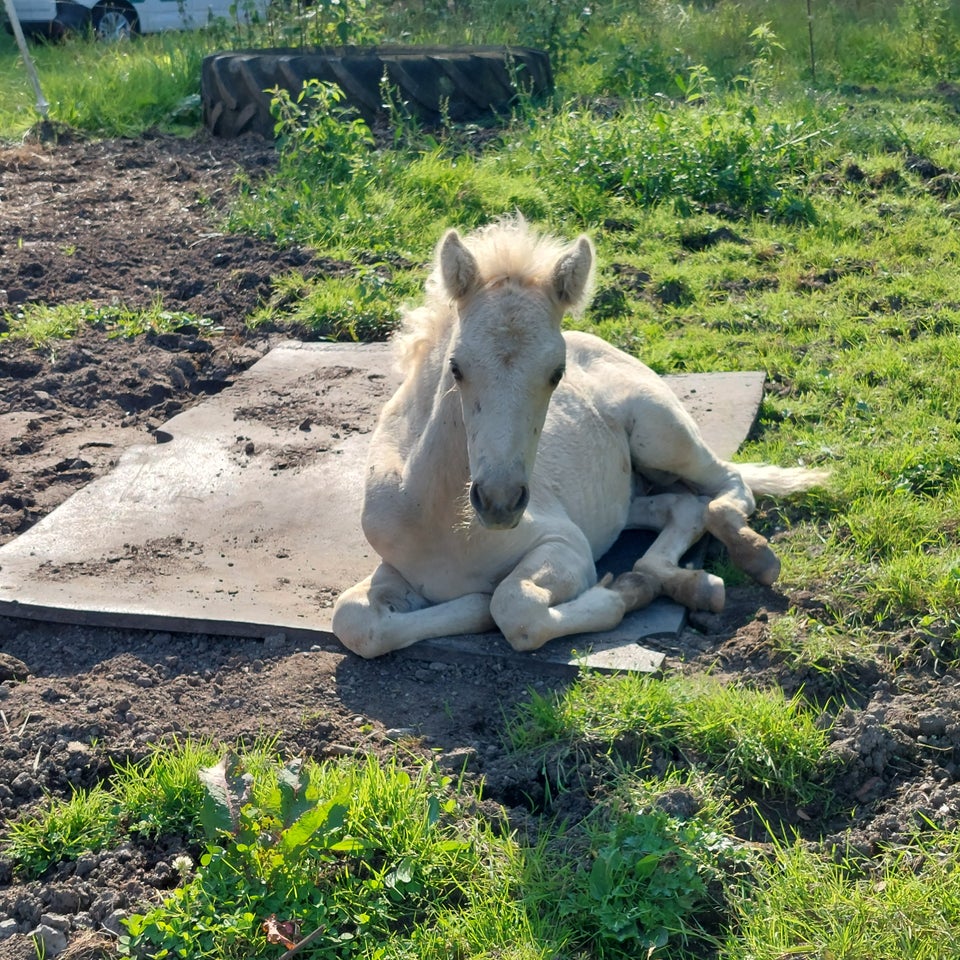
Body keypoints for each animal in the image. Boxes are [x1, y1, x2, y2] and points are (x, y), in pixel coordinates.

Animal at [332, 219, 824, 660]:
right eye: (456, 367)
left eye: (556, 372)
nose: (499, 503)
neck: (441, 518)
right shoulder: (396, 566)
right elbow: (353, 621)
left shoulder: (566, 545)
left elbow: (512, 606)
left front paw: (614, 595)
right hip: (623, 498)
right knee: (682, 507)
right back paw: (686, 582)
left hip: (661, 435)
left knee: (727, 485)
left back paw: (751, 555)